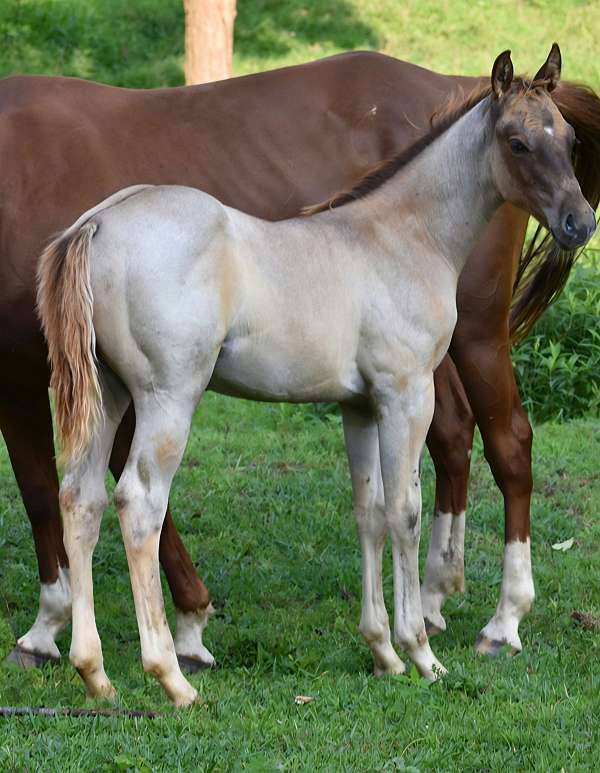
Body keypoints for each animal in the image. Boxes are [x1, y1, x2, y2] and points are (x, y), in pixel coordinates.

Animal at [3, 49, 600, 670]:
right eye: (517, 142)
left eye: (568, 138)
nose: (580, 223)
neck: (399, 237)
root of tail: (95, 225)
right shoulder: (404, 394)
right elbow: (403, 512)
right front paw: (418, 653)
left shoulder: (359, 405)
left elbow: (370, 512)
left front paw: (383, 651)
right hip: (168, 399)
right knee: (139, 504)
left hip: (110, 394)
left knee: (81, 499)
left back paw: (94, 668)